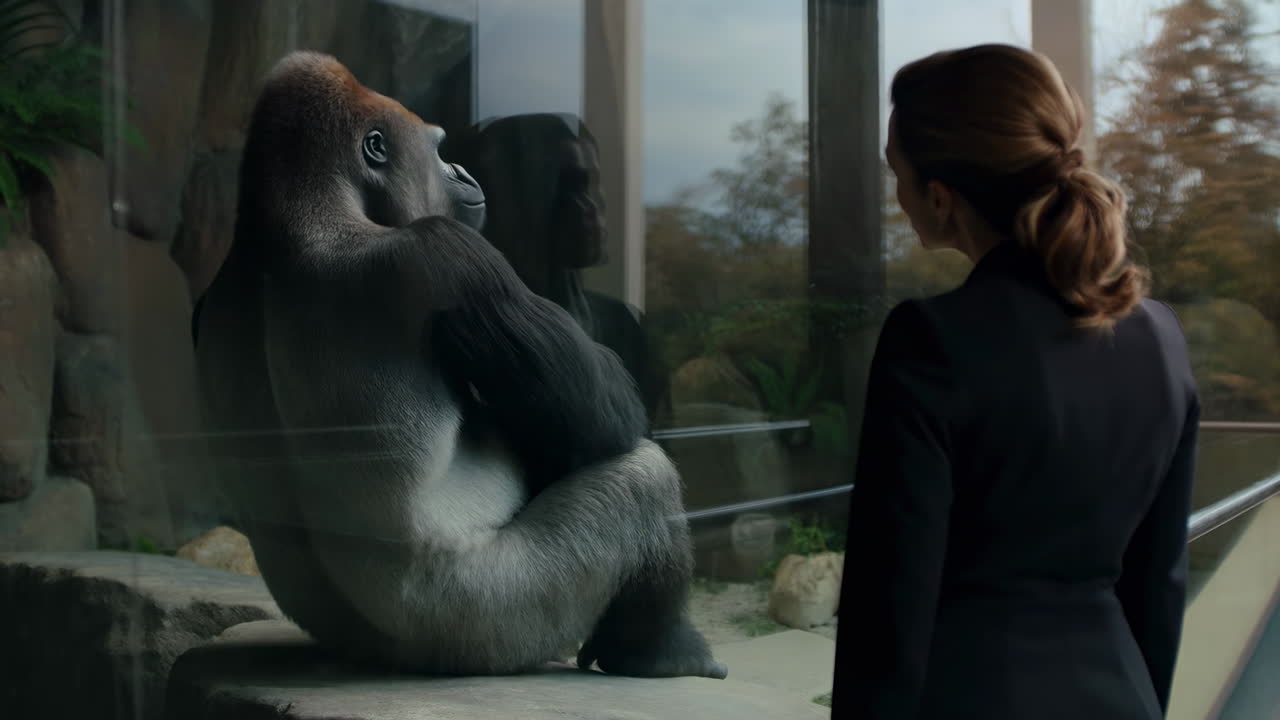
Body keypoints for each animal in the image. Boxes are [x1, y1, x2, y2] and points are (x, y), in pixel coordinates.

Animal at [190, 50, 726, 681]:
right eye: (440, 149)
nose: (465, 173)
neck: (296, 216)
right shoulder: (446, 253)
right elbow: (605, 417)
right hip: (491, 627)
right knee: (639, 481)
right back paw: (656, 649)